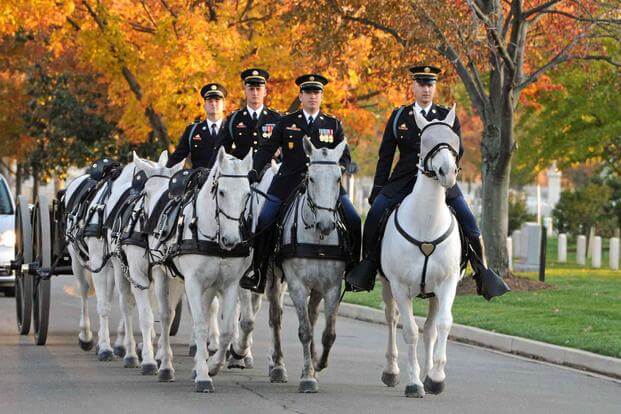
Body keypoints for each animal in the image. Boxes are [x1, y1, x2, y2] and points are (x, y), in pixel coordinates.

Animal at [165, 147, 252, 392]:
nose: (231, 240)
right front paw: (204, 376)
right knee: (164, 316)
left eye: (247, 194)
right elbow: (201, 326)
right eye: (221, 192)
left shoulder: (230, 284)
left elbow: (227, 330)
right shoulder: (192, 282)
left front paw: (212, 366)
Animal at [274, 137, 352, 392]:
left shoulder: (332, 287)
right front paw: (308, 377)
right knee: (275, 317)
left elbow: (328, 333)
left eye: (338, 177)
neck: (318, 240)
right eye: (311, 178)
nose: (326, 224)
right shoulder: (297, 286)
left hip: (317, 287)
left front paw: (318, 364)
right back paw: (277, 365)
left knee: (313, 315)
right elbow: (305, 331)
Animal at [380, 104, 462, 398]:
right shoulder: (399, 285)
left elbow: (443, 324)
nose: (447, 173)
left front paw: (435, 377)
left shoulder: (448, 283)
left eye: (454, 140)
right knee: (392, 320)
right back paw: (392, 370)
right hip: (387, 286)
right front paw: (414, 382)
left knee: (431, 329)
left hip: (434, 294)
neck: (426, 221)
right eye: (425, 141)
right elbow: (410, 332)